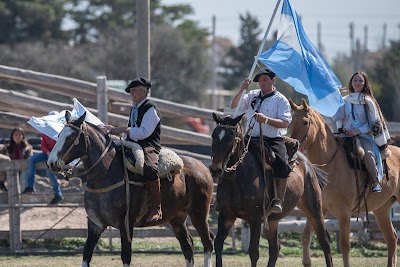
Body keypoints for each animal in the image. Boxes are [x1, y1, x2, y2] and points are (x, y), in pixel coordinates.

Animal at [47, 111, 216, 267]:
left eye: (71, 137)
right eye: (59, 134)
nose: (51, 163)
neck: (106, 176)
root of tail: (203, 168)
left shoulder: (126, 225)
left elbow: (126, 256)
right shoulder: (95, 225)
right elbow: (87, 253)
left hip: (199, 213)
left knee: (207, 242)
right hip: (177, 218)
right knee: (187, 246)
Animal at [208, 113, 332, 267]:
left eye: (230, 137)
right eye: (214, 135)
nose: (215, 169)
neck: (237, 177)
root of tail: (308, 164)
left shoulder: (255, 219)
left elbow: (253, 252)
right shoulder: (226, 215)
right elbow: (218, 244)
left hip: (314, 209)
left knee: (324, 241)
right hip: (273, 221)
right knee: (275, 248)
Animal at [290, 99, 400, 266]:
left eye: (305, 122)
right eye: (291, 122)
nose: (294, 145)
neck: (331, 164)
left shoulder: (344, 212)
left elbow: (344, 245)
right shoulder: (318, 209)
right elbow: (306, 236)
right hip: (382, 209)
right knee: (392, 239)